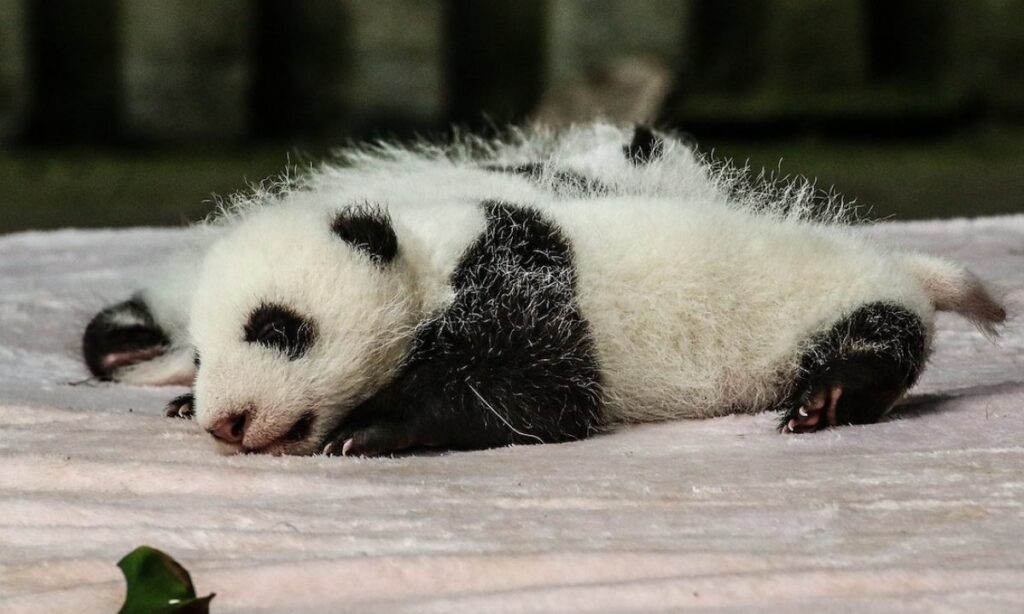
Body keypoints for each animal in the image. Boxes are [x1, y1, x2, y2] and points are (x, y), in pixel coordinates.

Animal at [82, 124, 1006, 456]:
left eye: (278, 328)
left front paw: (369, 431)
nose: (227, 423)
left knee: (876, 339)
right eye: (203, 351)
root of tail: (901, 265)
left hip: (837, 299)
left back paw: (828, 397)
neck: (429, 248)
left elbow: (532, 395)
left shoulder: (522, 285)